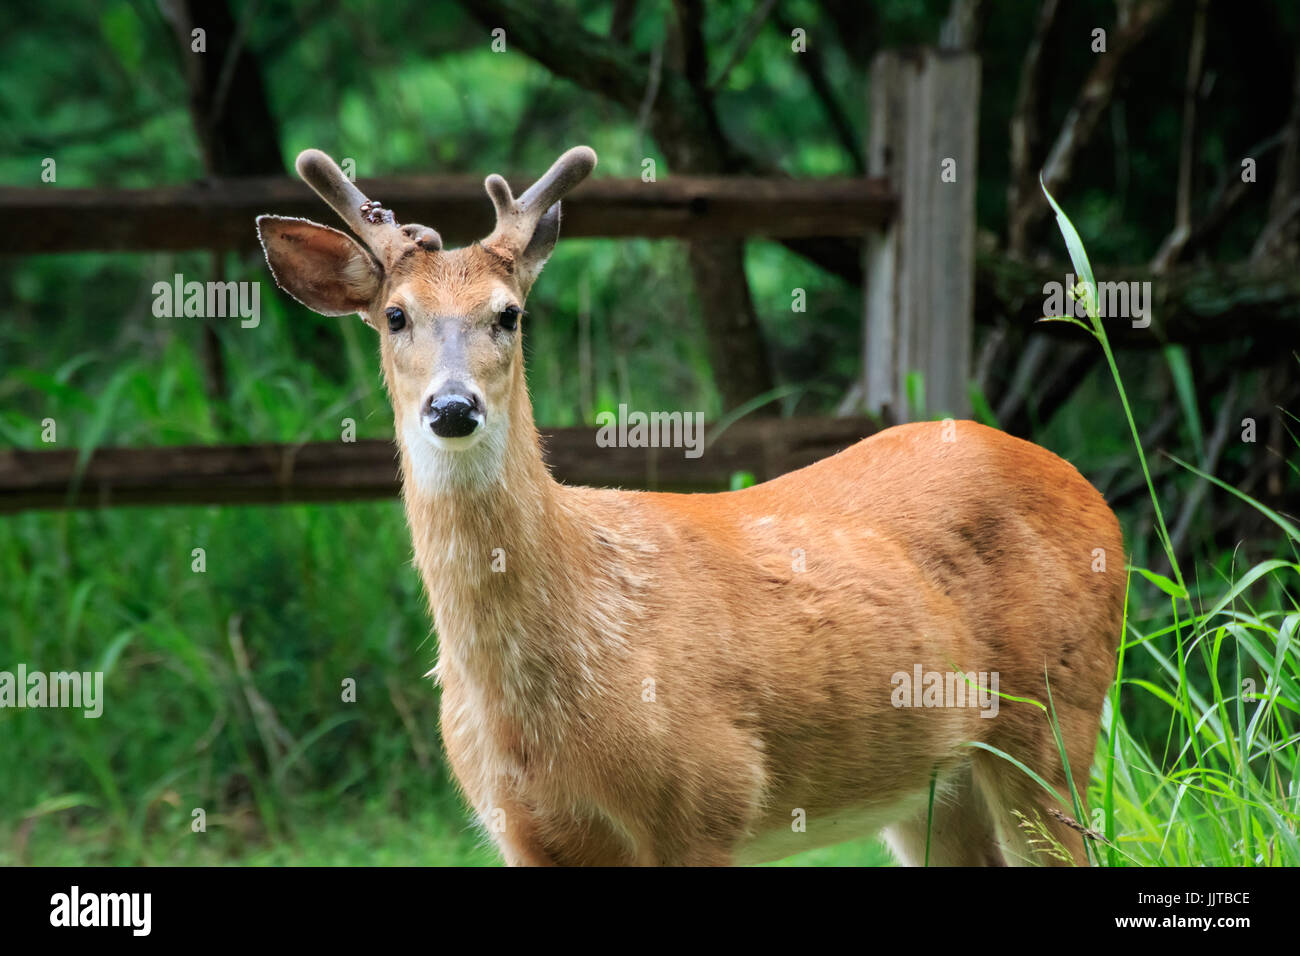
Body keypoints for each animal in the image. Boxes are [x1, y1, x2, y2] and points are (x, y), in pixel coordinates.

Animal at [256, 145, 1125, 866]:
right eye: (395, 315)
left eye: (509, 313)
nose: (452, 406)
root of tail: (1093, 496)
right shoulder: (523, 830)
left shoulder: (708, 799)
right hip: (934, 784)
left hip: (1057, 724)